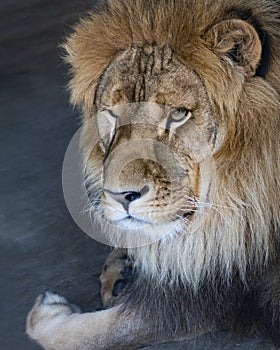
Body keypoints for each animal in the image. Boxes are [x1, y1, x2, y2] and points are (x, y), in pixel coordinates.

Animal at [26, 0, 280, 348]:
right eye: (112, 113)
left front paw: (45, 313)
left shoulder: (204, 293)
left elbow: (95, 332)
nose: (121, 196)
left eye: (179, 113)